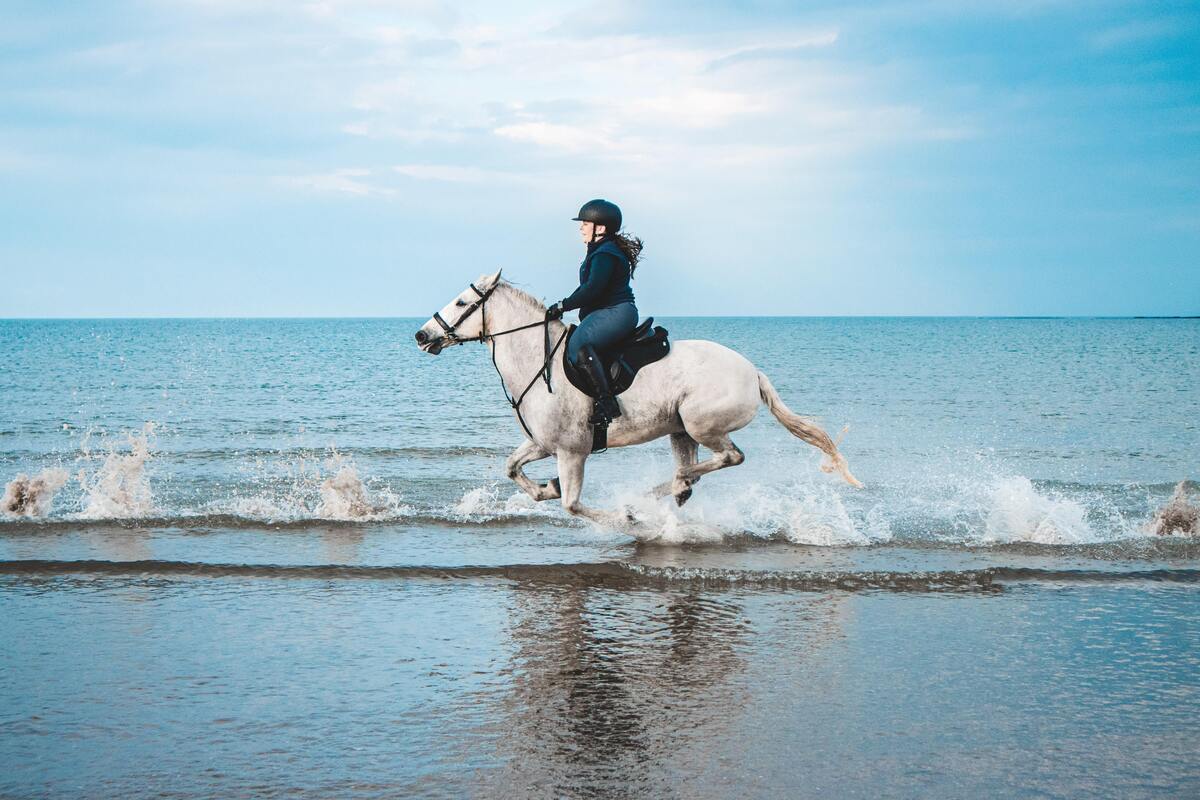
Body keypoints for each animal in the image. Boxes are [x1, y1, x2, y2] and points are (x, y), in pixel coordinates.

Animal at [415, 272, 864, 527]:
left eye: (461, 302)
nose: (422, 335)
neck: (538, 361)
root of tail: (752, 372)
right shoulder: (542, 443)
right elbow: (512, 469)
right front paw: (546, 487)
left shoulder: (572, 451)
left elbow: (573, 506)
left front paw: (623, 516)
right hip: (681, 430)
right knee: (695, 467)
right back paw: (673, 490)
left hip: (701, 423)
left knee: (729, 457)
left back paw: (658, 493)